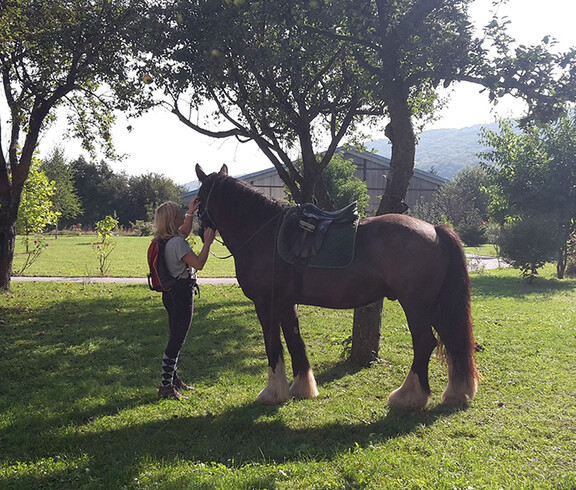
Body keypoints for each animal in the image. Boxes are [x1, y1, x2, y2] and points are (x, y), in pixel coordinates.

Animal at [196, 165, 480, 410]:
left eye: (198, 198)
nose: (199, 231)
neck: (264, 232)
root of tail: (435, 229)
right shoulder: (287, 303)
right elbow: (294, 340)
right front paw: (302, 388)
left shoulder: (266, 304)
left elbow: (273, 345)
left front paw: (272, 393)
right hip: (437, 306)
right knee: (452, 340)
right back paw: (457, 393)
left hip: (416, 306)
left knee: (425, 343)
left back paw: (408, 396)